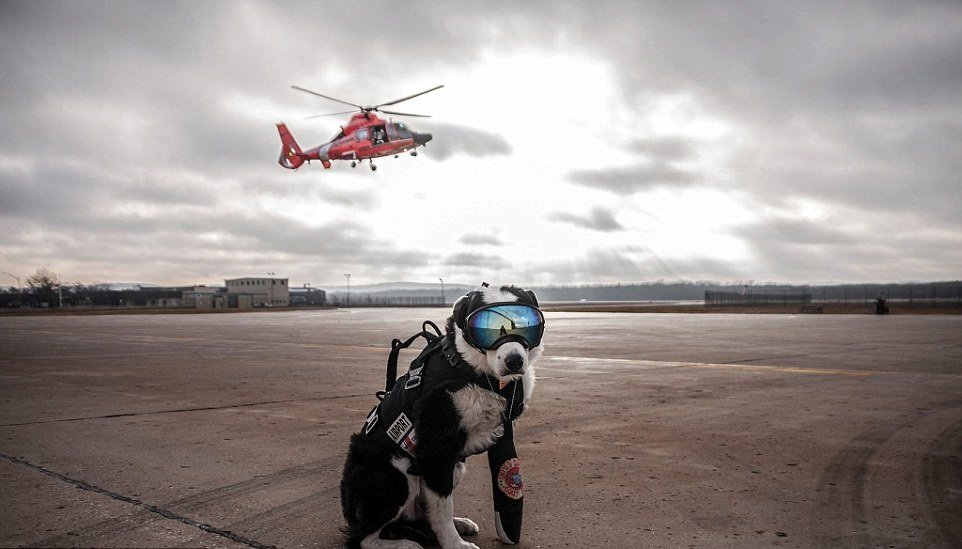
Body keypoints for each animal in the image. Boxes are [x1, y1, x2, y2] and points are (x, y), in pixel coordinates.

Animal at [342, 284, 544, 548]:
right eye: (486, 328)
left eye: (527, 325)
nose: (515, 361)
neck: (473, 373)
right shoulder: (436, 450)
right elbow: (442, 508)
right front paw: (454, 544)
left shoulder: (501, 431)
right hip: (397, 472)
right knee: (361, 538)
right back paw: (404, 544)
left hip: (454, 466)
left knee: (422, 511)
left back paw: (456, 524)